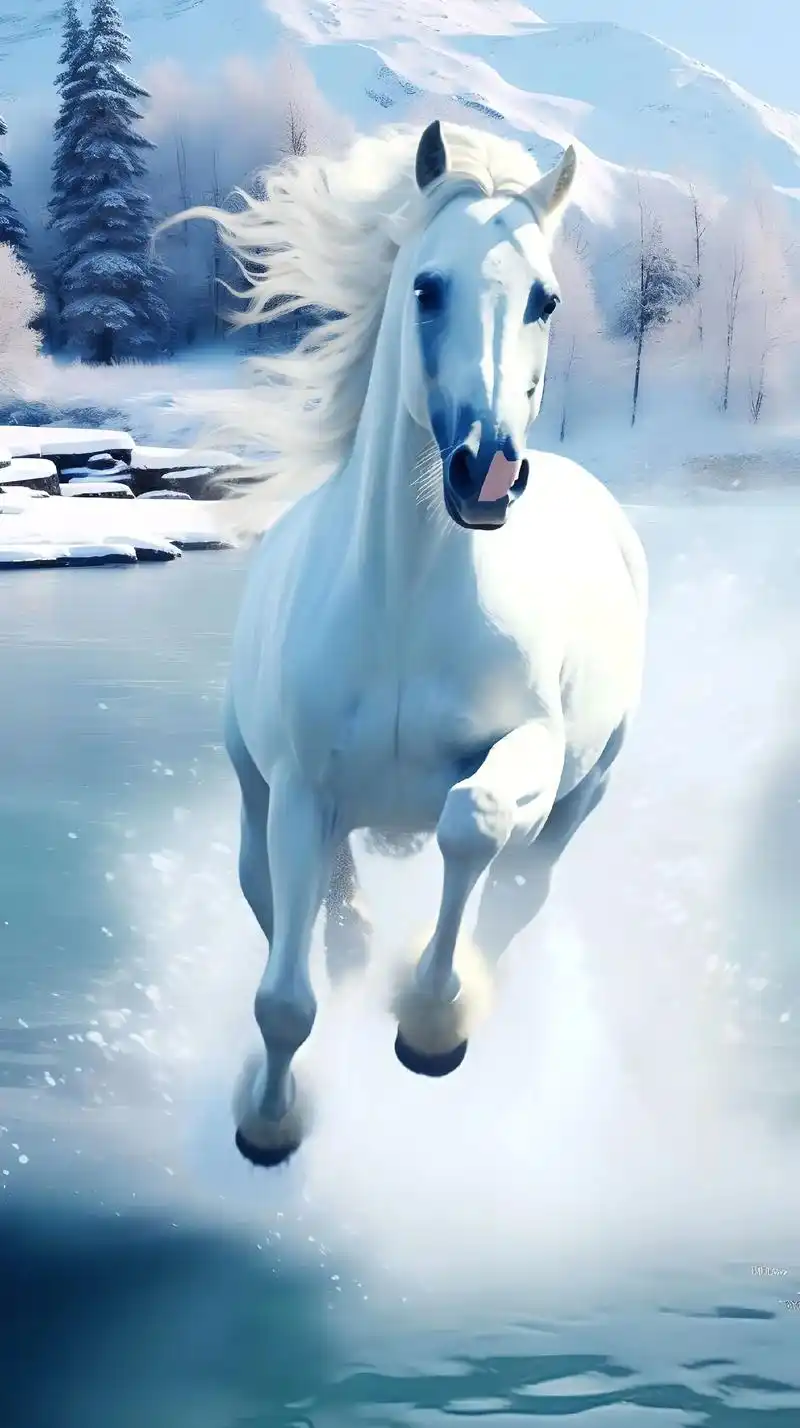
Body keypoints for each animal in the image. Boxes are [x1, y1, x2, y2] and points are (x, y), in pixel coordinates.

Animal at [189, 119, 648, 1168]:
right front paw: (268, 1124)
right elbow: (285, 996)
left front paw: (433, 1022)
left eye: (545, 297)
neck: (403, 608)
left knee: (518, 889)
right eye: (425, 287)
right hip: (258, 795)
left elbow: (472, 822)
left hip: (586, 793)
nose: (489, 472)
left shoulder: (528, 752)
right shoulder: (301, 794)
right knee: (306, 901)